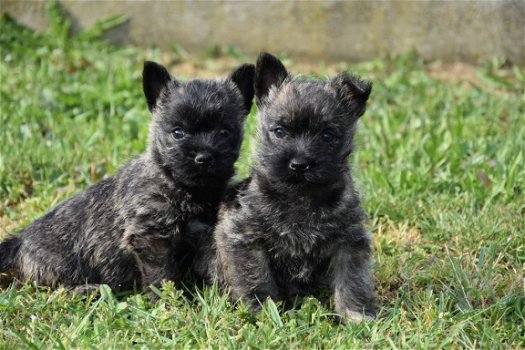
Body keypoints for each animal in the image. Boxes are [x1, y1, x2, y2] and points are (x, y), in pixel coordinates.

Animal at [0, 60, 254, 298]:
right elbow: (162, 275)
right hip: (62, 266)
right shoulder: (151, 237)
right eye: (178, 132)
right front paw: (169, 302)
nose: (204, 157)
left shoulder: (204, 235)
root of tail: (20, 241)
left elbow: (214, 264)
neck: (182, 187)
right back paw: (87, 290)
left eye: (224, 132)